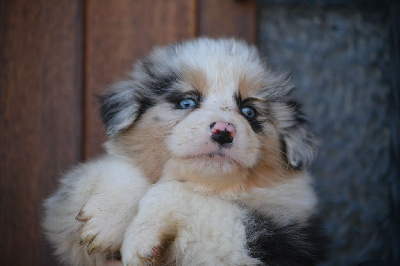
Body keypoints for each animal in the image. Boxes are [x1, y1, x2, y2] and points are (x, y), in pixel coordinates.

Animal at [43, 38, 324, 266]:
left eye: (249, 111)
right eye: (186, 102)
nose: (223, 131)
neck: (208, 185)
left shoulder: (269, 241)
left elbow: (171, 191)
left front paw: (138, 240)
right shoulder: (63, 223)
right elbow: (120, 167)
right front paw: (105, 221)